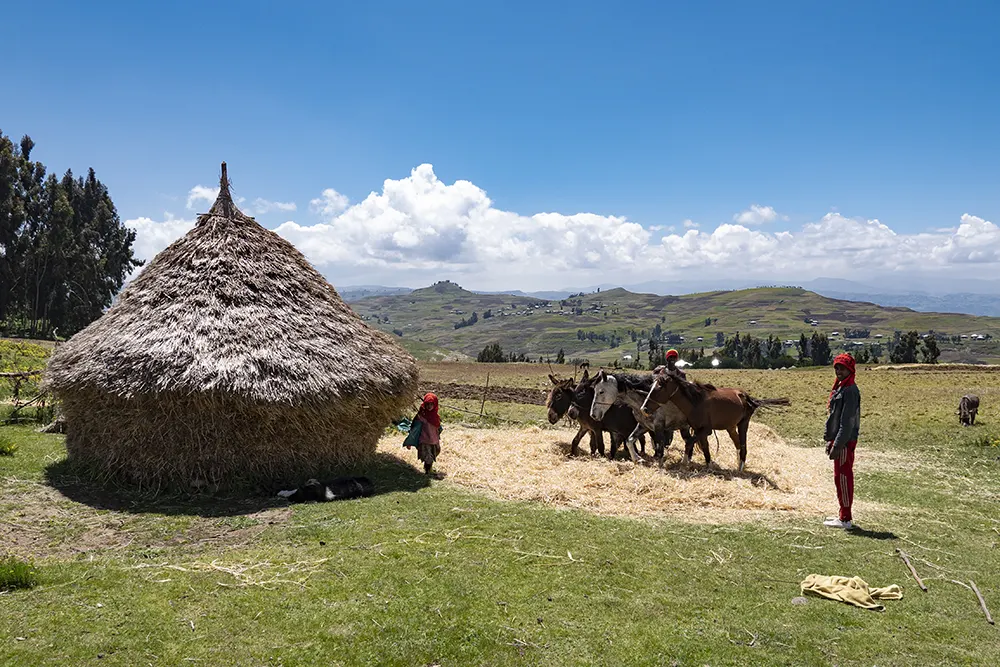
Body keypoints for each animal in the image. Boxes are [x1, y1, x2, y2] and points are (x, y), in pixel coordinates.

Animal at [640, 368, 788, 472]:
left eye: (659, 388)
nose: (644, 408)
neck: (696, 401)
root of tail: (746, 396)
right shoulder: (699, 430)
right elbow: (704, 447)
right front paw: (709, 465)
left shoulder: (706, 430)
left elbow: (689, 442)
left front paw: (684, 461)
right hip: (730, 427)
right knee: (737, 444)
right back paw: (738, 464)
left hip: (743, 424)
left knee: (743, 445)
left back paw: (741, 466)